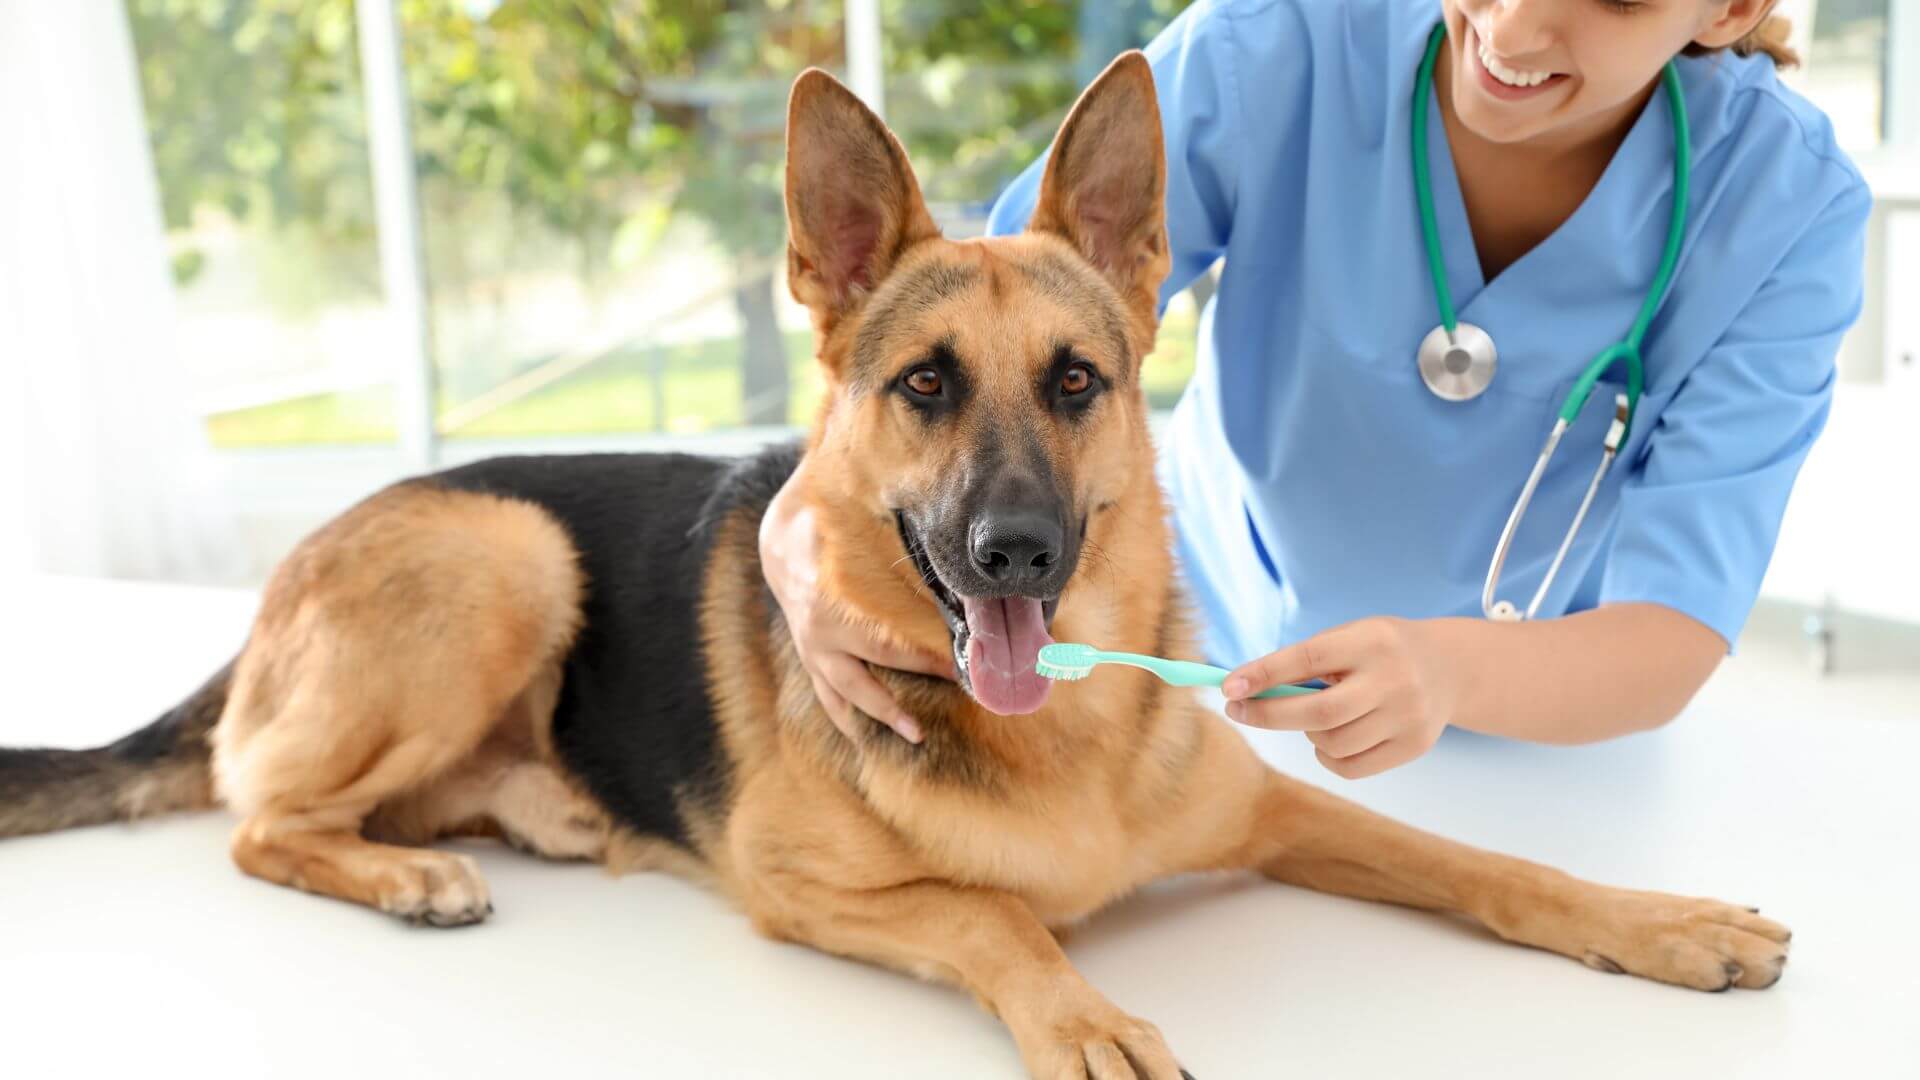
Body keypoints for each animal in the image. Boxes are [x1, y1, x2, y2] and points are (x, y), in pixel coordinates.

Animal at [7, 56, 1789, 1076]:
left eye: (1076, 381)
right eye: (925, 384)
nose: (1018, 548)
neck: (1055, 736)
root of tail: (284, 586)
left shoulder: (1283, 811)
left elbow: (1489, 863)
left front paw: (1663, 921)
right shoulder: (803, 893)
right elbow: (999, 919)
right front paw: (1085, 1014)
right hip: (504, 554)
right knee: (256, 813)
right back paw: (403, 873)